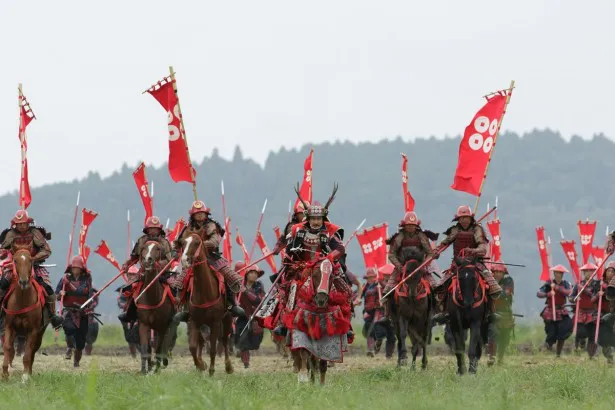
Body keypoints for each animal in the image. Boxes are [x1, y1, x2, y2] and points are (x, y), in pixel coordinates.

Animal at [2, 248, 48, 382]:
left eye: (30, 260)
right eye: (15, 260)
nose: (23, 281)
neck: (22, 300)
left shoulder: (33, 330)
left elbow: (28, 353)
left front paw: (25, 376)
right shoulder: (9, 327)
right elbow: (7, 347)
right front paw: (5, 373)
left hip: (39, 333)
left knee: (32, 351)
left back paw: (29, 373)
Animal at [134, 240, 173, 374]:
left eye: (157, 249)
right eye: (144, 248)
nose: (148, 260)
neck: (151, 300)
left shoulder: (162, 326)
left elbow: (159, 348)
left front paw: (157, 369)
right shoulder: (143, 324)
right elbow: (145, 349)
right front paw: (143, 371)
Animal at [180, 229, 236, 376]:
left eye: (197, 242)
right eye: (183, 242)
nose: (185, 260)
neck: (204, 292)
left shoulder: (215, 322)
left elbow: (213, 349)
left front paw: (211, 371)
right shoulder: (193, 321)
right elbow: (193, 346)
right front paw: (200, 365)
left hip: (226, 319)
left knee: (224, 340)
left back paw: (229, 367)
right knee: (201, 342)